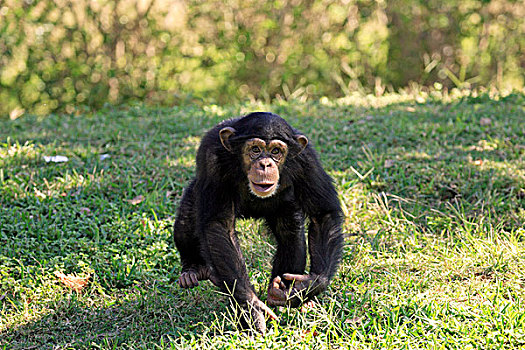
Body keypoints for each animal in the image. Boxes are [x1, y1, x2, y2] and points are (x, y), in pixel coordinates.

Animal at [172, 112, 344, 334]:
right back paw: (193, 270)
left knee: (291, 232)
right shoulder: (212, 158)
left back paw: (281, 295)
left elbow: (322, 214)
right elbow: (218, 225)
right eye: (255, 150)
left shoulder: (307, 162)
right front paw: (251, 307)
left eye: (276, 151)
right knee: (187, 217)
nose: (265, 164)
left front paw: (308, 286)